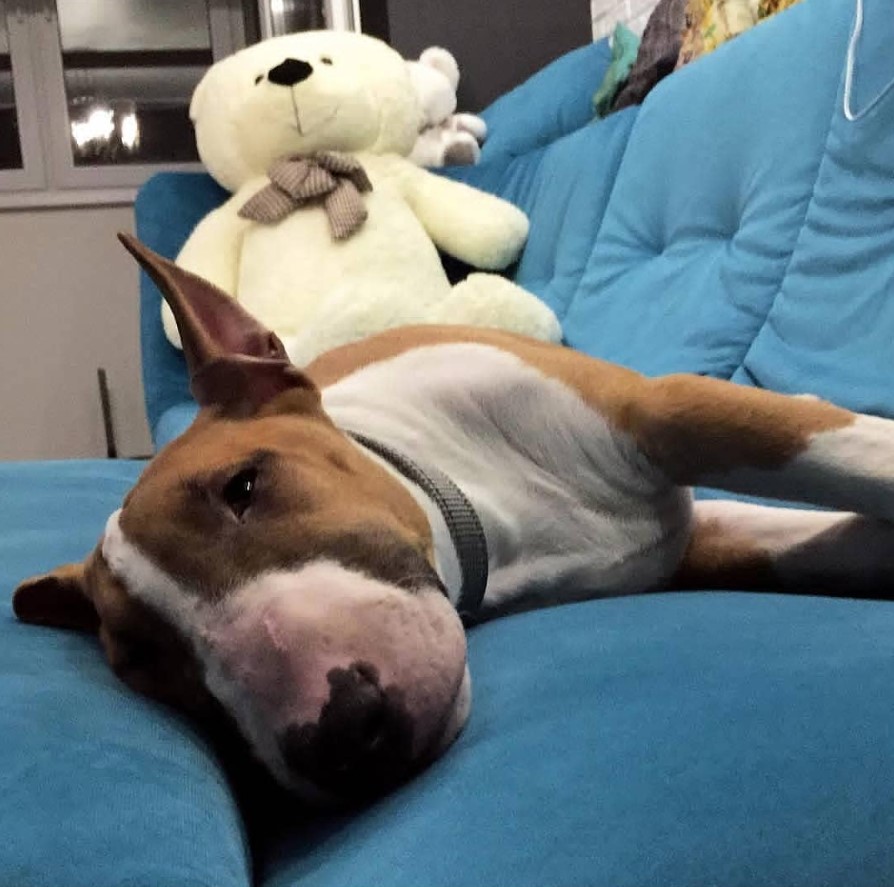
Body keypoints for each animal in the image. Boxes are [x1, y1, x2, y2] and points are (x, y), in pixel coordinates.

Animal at [12, 232, 894, 808]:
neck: (492, 518)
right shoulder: (704, 546)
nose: (342, 737)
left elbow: (864, 458)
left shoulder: (669, 409)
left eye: (244, 485)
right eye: (141, 661)